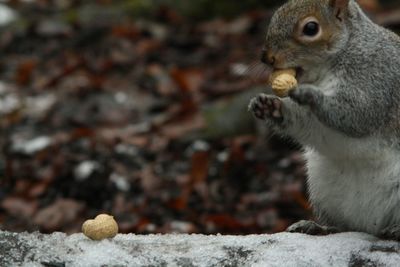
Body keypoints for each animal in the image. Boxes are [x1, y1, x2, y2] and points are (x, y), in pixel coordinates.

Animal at [248, 0, 400, 240]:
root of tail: (370, 227)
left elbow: (360, 112)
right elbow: (310, 125)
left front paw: (309, 94)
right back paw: (317, 228)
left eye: (311, 28)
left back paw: (395, 230)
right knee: (343, 226)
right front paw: (271, 106)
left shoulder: (378, 78)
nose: (266, 57)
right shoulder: (317, 123)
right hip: (324, 191)